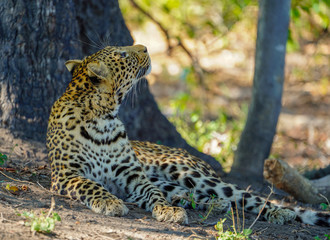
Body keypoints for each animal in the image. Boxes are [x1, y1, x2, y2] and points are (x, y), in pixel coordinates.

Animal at [47, 44, 330, 227]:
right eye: (123, 55)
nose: (145, 47)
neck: (103, 118)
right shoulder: (66, 175)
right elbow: (92, 185)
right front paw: (110, 202)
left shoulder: (133, 176)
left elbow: (153, 194)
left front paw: (167, 211)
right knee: (196, 194)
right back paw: (204, 203)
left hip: (187, 172)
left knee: (249, 197)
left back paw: (278, 214)